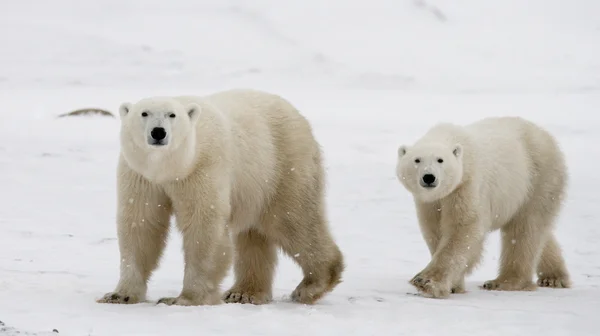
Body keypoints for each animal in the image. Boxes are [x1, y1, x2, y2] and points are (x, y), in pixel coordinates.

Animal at [96, 89, 344, 308]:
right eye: (144, 113)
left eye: (172, 115)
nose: (158, 132)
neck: (171, 168)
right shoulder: (140, 176)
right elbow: (141, 224)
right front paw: (119, 295)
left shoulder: (202, 168)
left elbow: (202, 225)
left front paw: (184, 298)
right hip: (254, 186)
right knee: (254, 234)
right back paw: (243, 293)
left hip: (283, 165)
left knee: (292, 220)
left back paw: (311, 285)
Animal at [396, 117, 568, 298]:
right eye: (417, 160)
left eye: (440, 160)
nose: (429, 177)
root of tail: (546, 136)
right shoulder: (431, 201)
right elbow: (435, 230)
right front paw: (454, 285)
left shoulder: (467, 184)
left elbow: (463, 228)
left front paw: (426, 281)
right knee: (539, 232)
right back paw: (554, 278)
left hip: (538, 178)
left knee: (525, 228)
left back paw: (504, 282)